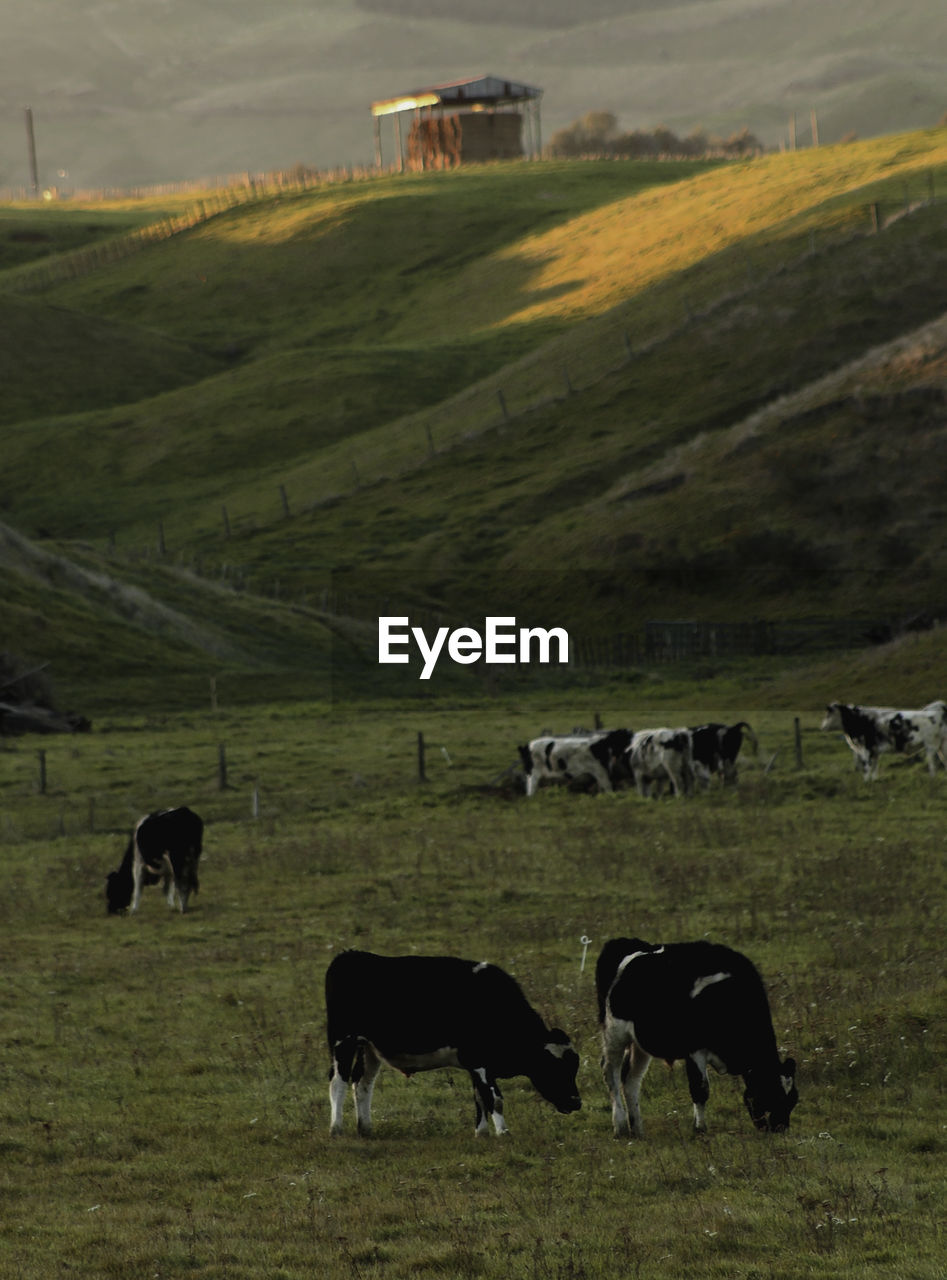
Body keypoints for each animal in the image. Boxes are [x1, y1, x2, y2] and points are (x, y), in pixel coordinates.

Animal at [325, 952, 580, 1141]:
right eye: (553, 1068)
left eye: (573, 1068)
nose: (577, 1103)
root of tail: (349, 955)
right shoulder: (480, 1062)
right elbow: (494, 1098)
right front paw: (503, 1132)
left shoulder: (476, 1064)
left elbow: (480, 1097)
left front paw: (482, 1133)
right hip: (343, 1041)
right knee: (338, 1081)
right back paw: (336, 1128)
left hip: (369, 1048)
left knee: (362, 1083)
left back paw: (365, 1128)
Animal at [596, 936, 793, 1136]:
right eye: (772, 1094)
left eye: (793, 1100)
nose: (781, 1128)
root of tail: (627, 943)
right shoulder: (695, 1048)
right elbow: (700, 1088)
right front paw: (700, 1128)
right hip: (614, 1033)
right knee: (611, 1073)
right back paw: (620, 1126)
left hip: (639, 1043)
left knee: (630, 1079)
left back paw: (637, 1128)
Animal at [819, 701, 947, 778]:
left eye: (828, 714)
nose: (822, 727)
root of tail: (938, 706)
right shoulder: (875, 751)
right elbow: (874, 768)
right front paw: (874, 781)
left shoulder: (866, 749)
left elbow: (867, 768)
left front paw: (866, 783)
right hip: (942, 746)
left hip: (931, 745)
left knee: (932, 765)